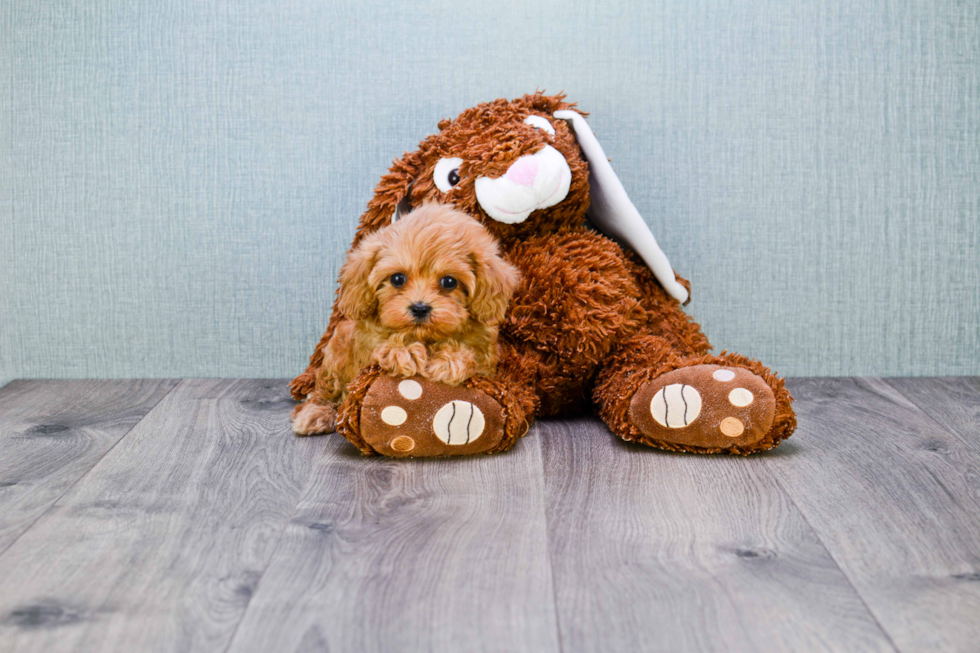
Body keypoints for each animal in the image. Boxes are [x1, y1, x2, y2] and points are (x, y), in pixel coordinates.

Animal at [290, 202, 520, 432]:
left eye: (449, 282)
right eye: (397, 278)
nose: (419, 308)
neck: (426, 338)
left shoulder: (485, 358)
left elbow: (470, 354)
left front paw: (450, 359)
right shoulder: (365, 347)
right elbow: (384, 345)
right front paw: (405, 351)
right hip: (335, 357)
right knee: (325, 390)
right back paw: (316, 412)